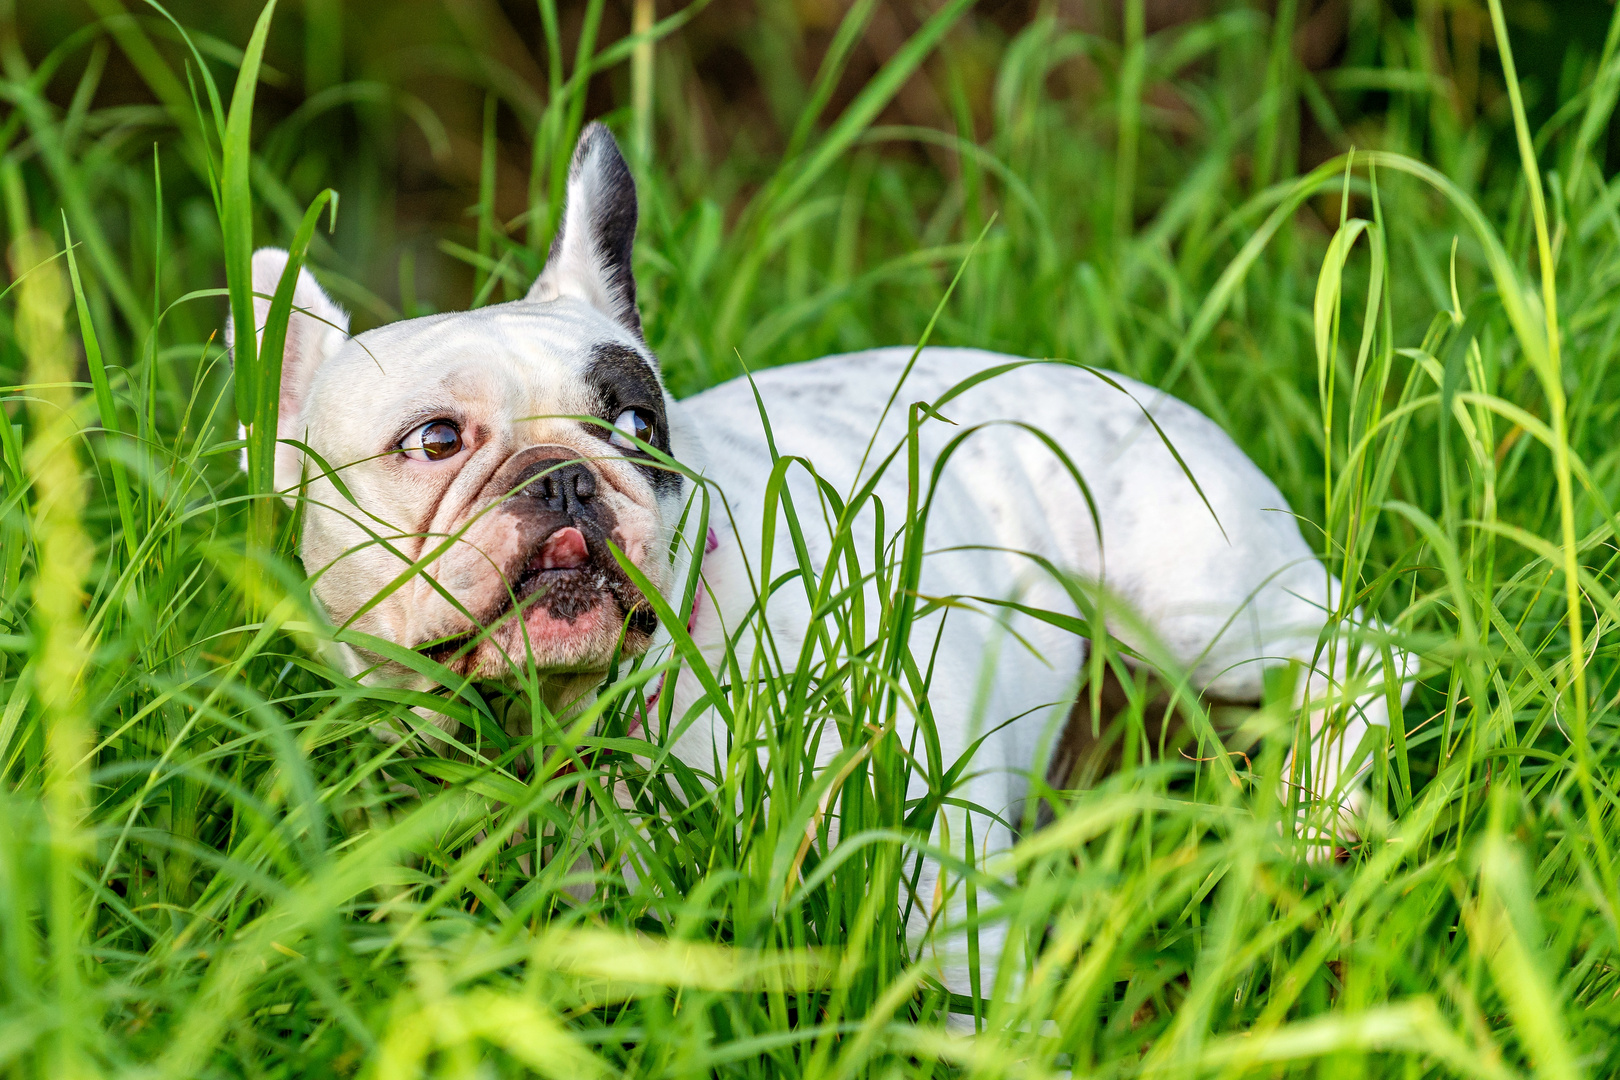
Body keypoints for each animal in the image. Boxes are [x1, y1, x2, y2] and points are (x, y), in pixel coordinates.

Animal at [225, 122, 1406, 1010]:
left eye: (639, 426)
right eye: (433, 440)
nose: (565, 479)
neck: (565, 725)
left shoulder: (927, 832)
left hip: (1197, 602)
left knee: (1361, 652)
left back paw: (1316, 816)